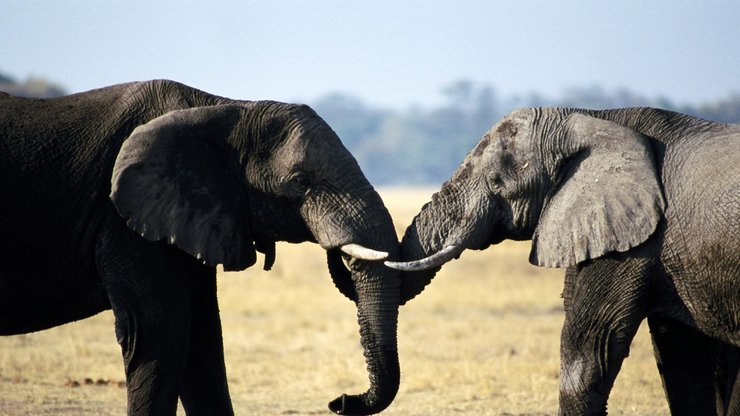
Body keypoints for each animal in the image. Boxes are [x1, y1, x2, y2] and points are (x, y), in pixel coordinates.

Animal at [0, 79, 402, 414]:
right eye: (300, 182)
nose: (339, 401)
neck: (227, 109)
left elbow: (203, 339)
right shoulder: (125, 222)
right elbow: (158, 332)